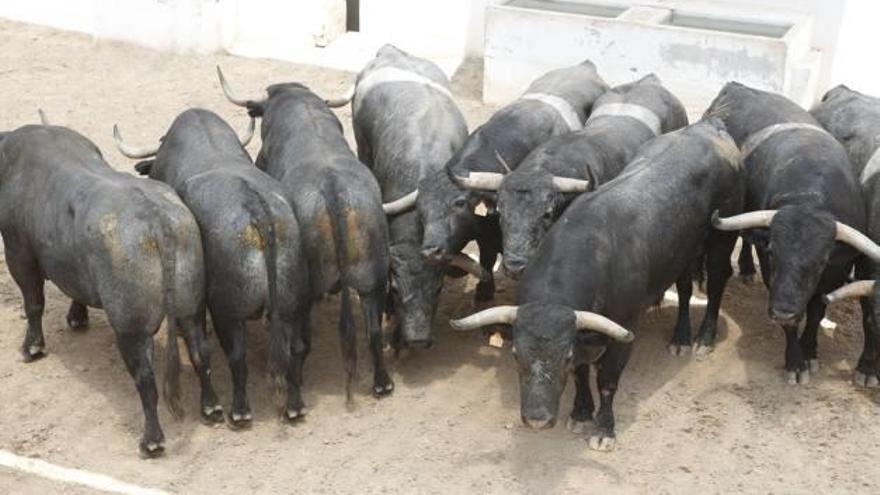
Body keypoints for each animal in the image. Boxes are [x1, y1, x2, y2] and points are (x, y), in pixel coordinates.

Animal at [700, 81, 872, 386]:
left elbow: (816, 311)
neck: (810, 199)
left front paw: (810, 351)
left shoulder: (835, 273)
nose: (782, 310)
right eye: (772, 252)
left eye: (821, 261)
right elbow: (793, 324)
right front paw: (795, 362)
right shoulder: (774, 276)